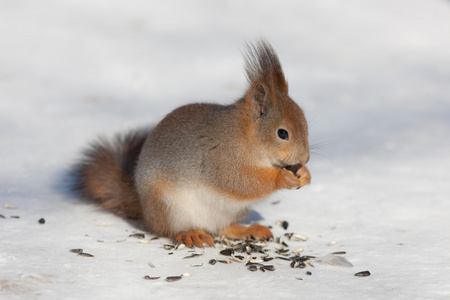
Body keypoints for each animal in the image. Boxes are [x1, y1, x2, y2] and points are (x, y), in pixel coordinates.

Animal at [74, 39, 312, 246]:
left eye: (305, 123)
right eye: (282, 133)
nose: (306, 157)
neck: (245, 136)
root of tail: (146, 211)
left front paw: (304, 173)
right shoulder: (220, 158)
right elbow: (240, 181)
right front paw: (282, 178)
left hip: (230, 211)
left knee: (223, 228)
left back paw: (249, 229)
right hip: (169, 207)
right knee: (171, 230)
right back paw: (191, 234)